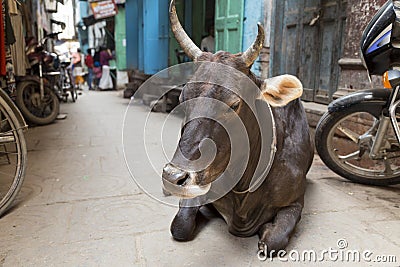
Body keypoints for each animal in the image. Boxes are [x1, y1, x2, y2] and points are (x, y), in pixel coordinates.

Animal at [161, 0, 314, 255]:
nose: (173, 176)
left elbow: (273, 241)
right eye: (183, 97)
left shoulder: (295, 202)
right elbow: (180, 226)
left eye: (233, 104)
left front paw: (267, 231)